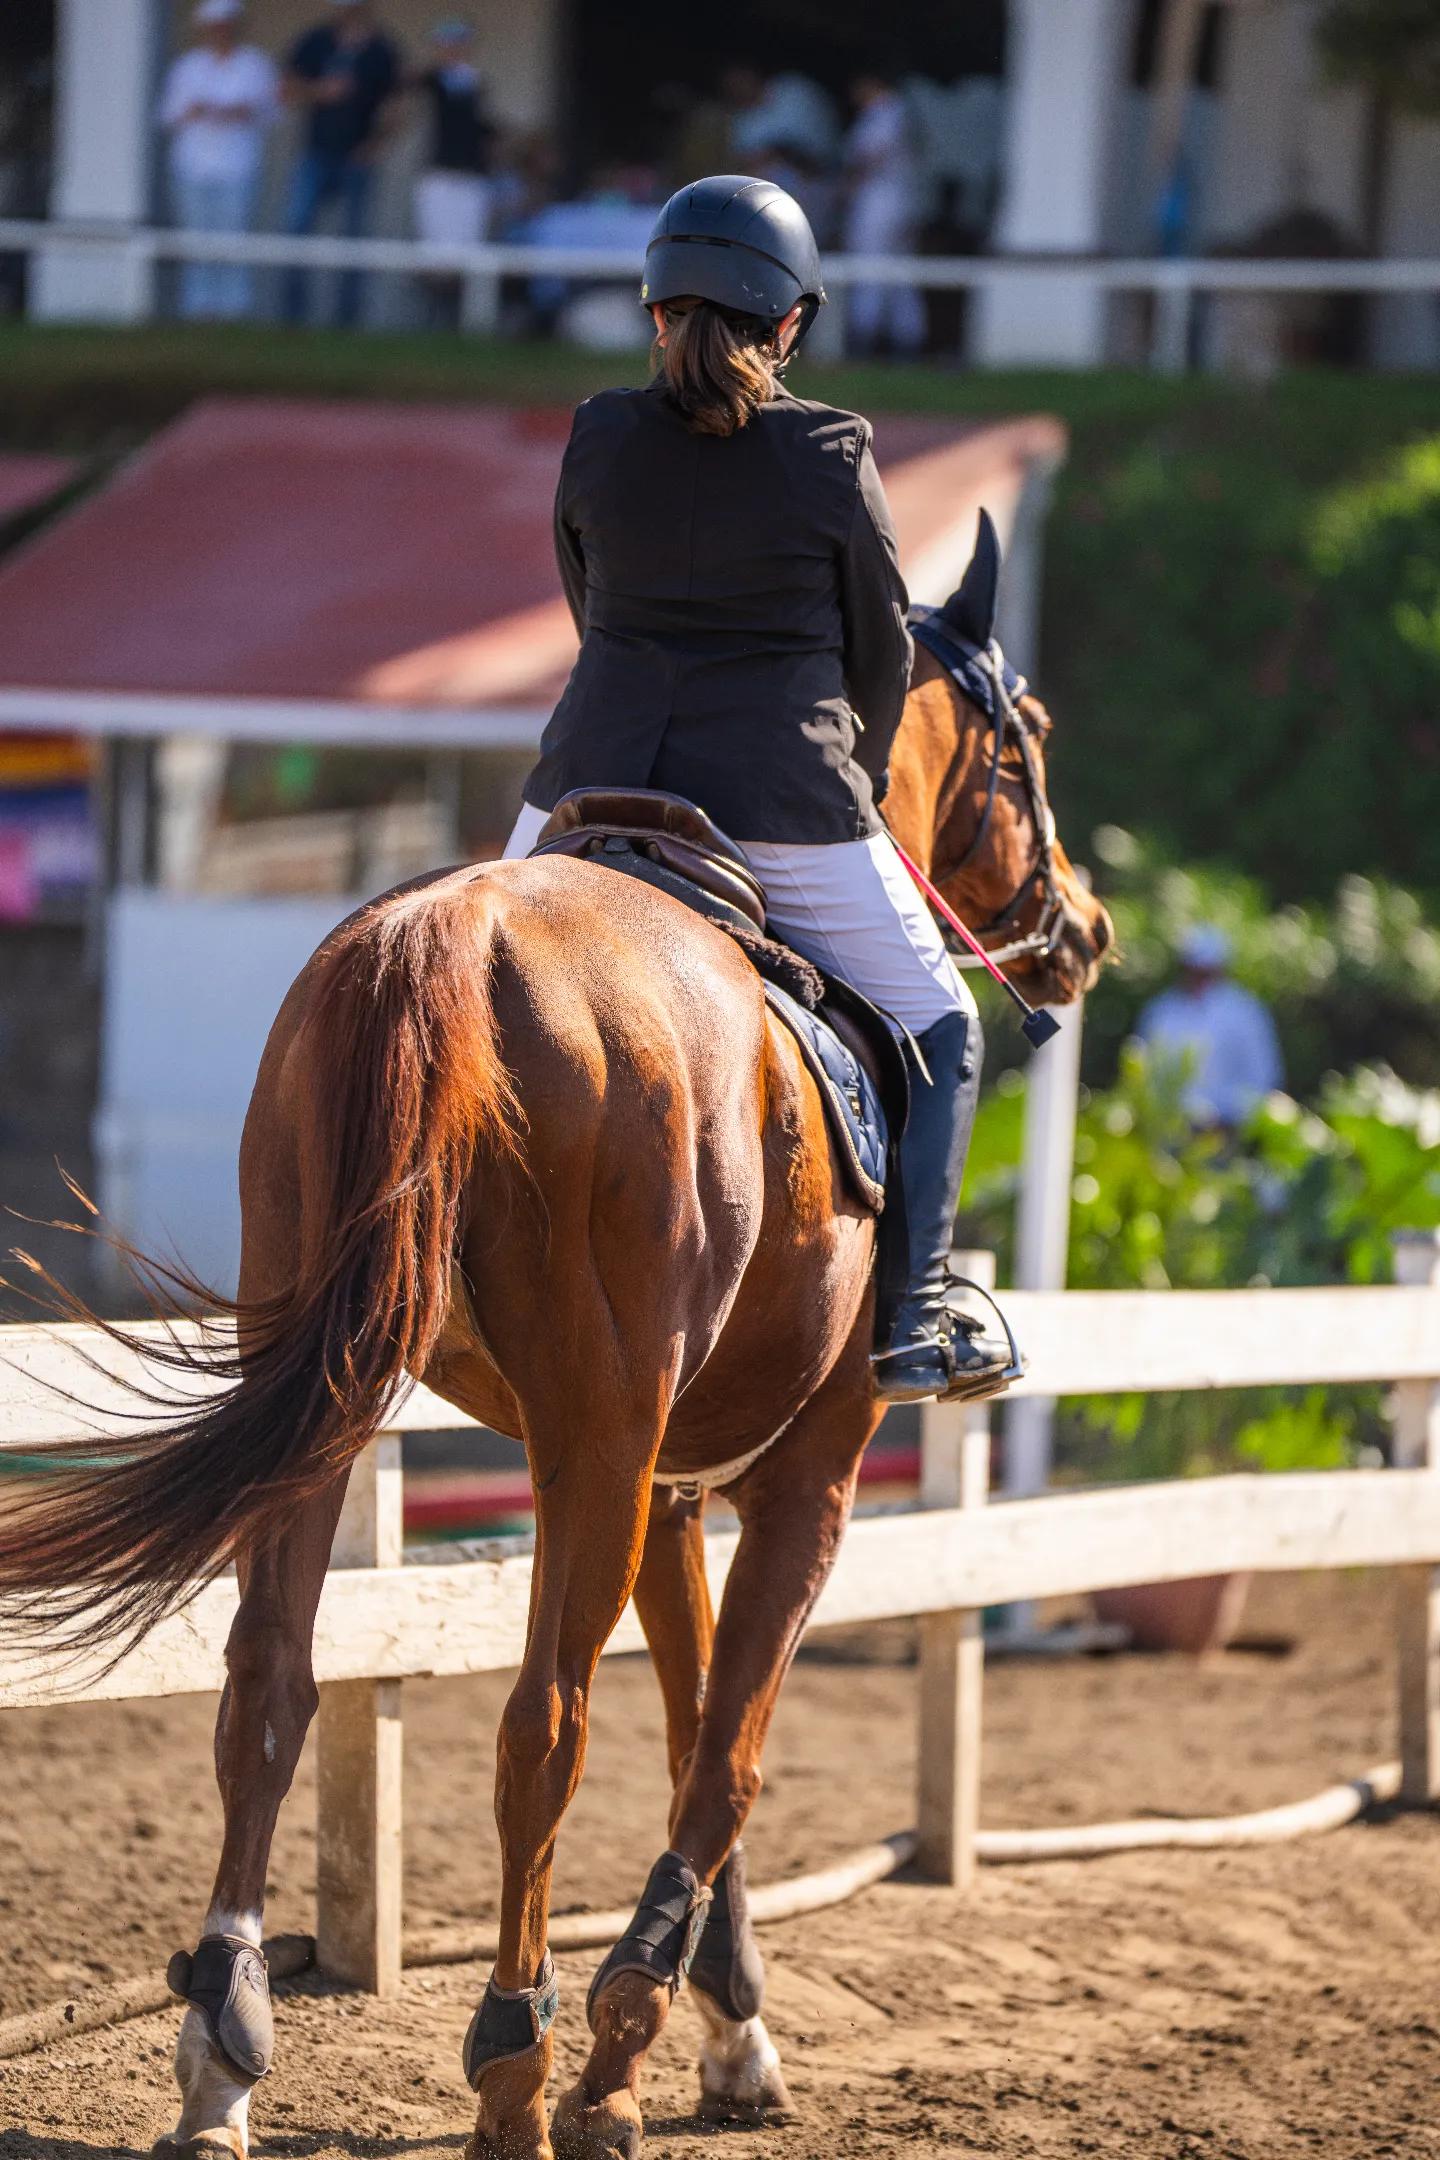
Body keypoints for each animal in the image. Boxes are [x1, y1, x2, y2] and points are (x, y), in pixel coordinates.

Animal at [0, 611, 1111, 2160]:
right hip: (590, 1439)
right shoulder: (798, 1478)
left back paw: (223, 2055)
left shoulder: (666, 1488)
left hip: (348, 1396)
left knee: (267, 1685)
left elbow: (699, 1730)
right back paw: (514, 2062)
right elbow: (728, 1753)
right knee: (544, 1721)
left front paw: (721, 2030)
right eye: (1028, 747)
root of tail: (455, 932)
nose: (1086, 931)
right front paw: (623, 2058)